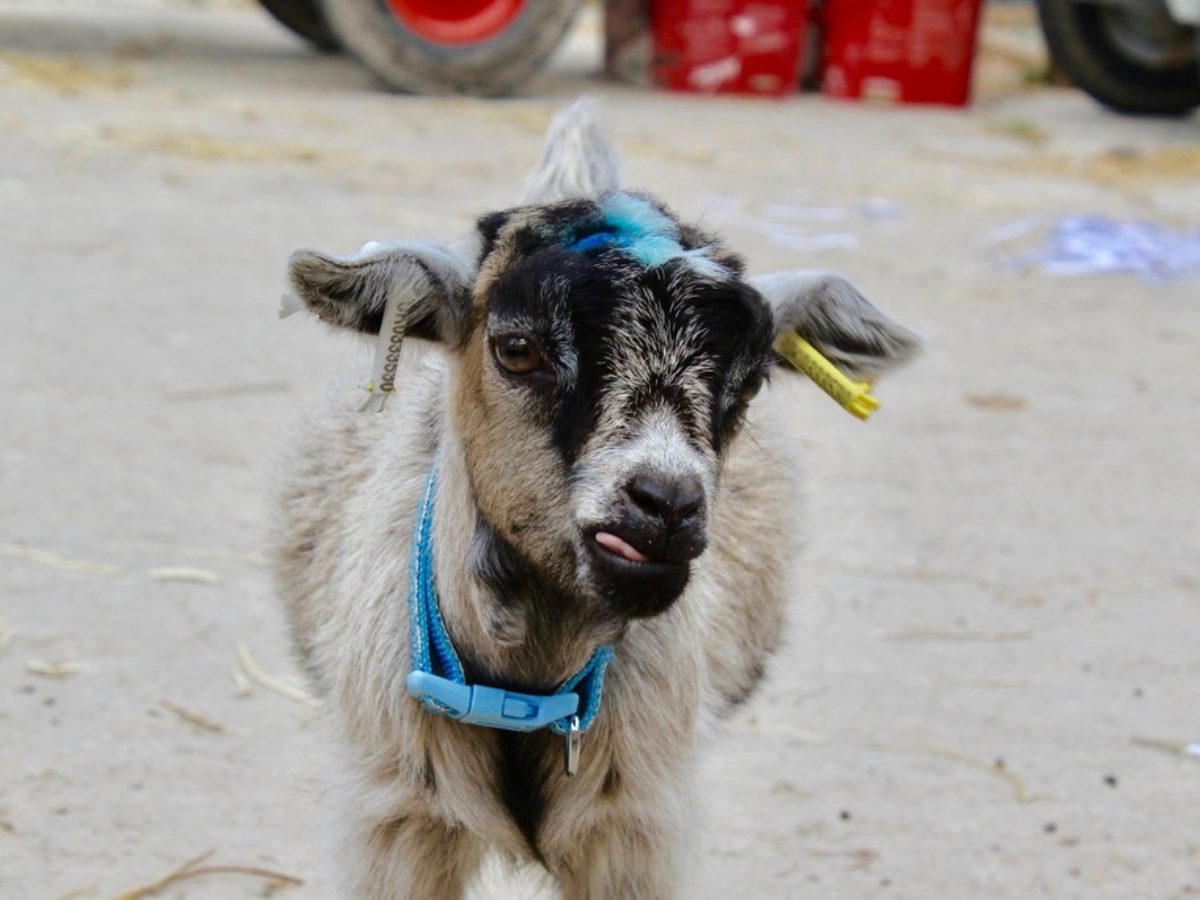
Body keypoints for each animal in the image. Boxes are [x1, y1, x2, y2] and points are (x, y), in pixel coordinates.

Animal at [272, 102, 912, 897]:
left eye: (753, 381)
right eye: (516, 348)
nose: (666, 505)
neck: (525, 687)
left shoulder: (636, 828)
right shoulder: (397, 822)